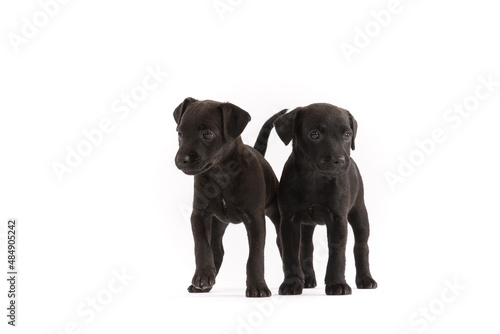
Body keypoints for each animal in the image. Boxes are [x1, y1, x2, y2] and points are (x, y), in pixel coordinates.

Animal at [174, 98, 284, 296]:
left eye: (207, 134)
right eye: (180, 133)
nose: (180, 160)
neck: (221, 173)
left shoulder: (255, 220)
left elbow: (255, 255)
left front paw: (257, 286)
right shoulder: (199, 215)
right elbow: (202, 246)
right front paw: (202, 276)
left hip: (276, 213)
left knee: (282, 243)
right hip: (218, 222)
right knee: (217, 250)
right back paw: (207, 280)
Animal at [276, 102, 376, 294]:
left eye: (347, 135)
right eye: (314, 134)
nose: (340, 160)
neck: (314, 179)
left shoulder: (338, 219)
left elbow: (337, 254)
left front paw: (337, 284)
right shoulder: (289, 221)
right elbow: (291, 255)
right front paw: (292, 283)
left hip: (359, 213)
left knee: (361, 247)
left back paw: (366, 279)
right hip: (306, 225)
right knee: (306, 248)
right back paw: (307, 279)